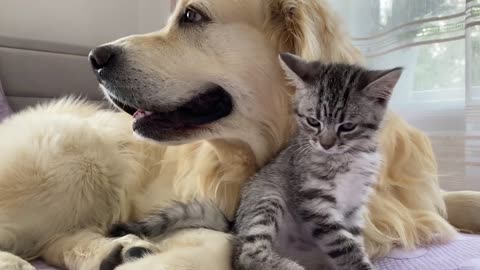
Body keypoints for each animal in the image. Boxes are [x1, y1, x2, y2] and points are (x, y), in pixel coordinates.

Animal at [232, 53, 402, 270]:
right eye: (313, 121)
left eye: (347, 126)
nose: (326, 144)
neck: (348, 156)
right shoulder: (314, 201)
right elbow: (344, 245)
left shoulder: (355, 205)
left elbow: (354, 239)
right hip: (266, 197)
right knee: (247, 254)